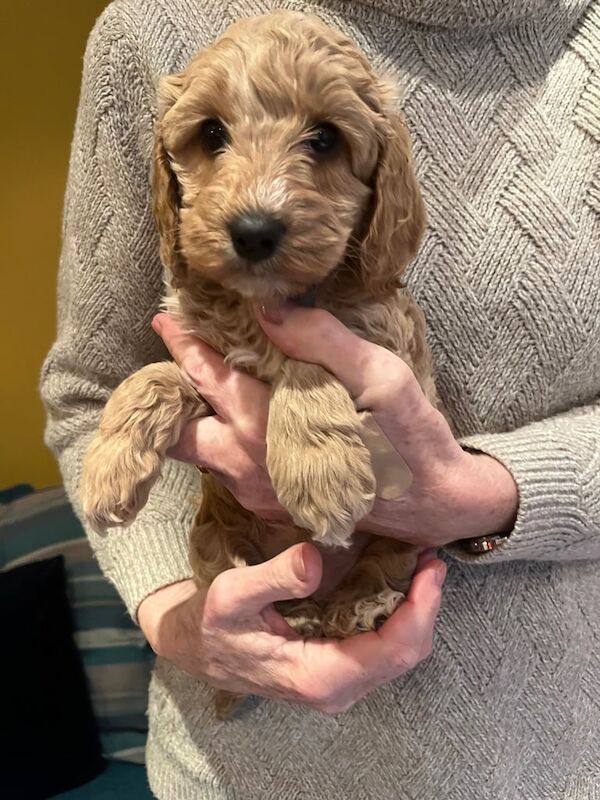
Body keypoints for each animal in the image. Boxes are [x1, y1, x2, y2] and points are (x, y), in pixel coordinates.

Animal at [81, 7, 440, 720]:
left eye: (325, 139)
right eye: (211, 133)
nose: (252, 230)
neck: (261, 306)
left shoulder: (390, 352)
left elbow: (308, 362)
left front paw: (319, 469)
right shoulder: (204, 354)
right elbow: (152, 374)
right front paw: (108, 466)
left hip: (398, 539)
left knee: (385, 560)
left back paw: (358, 604)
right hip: (214, 536)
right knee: (232, 571)